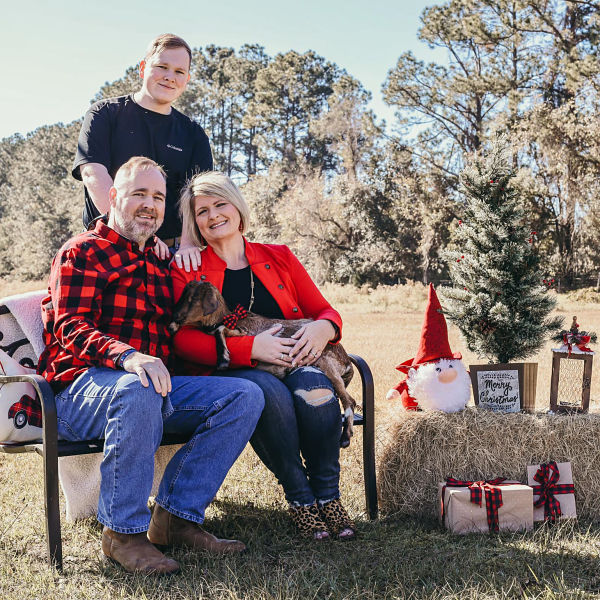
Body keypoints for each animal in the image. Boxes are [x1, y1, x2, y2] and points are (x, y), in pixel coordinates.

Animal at [170, 282, 356, 446]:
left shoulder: (244, 332)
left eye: (192, 299)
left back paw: (345, 438)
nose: (173, 319)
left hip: (326, 363)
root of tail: (346, 360)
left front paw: (223, 359)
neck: (230, 318)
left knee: (350, 401)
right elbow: (220, 330)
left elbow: (220, 329)